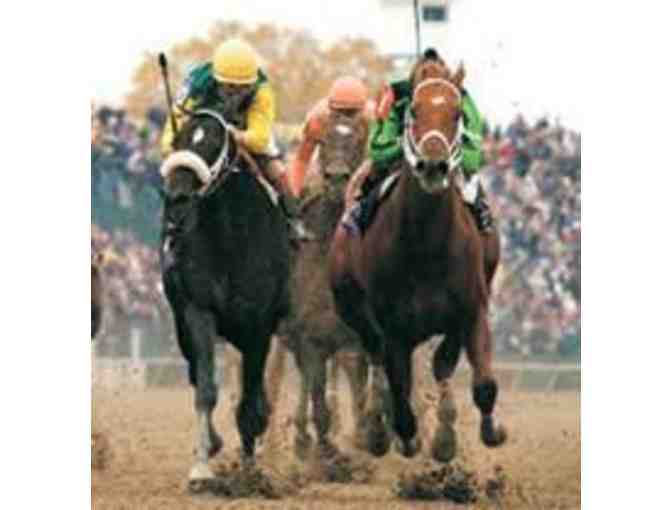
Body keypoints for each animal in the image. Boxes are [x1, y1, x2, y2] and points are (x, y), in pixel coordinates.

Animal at [159, 109, 291, 483]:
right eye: (179, 138)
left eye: (215, 141)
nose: (176, 199)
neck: (230, 236)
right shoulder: (198, 311)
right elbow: (206, 388)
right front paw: (201, 468)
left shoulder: (259, 324)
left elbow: (250, 401)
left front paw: (250, 470)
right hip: (182, 325)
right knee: (195, 373)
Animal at [329, 57, 507, 463]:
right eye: (413, 110)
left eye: (457, 113)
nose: (433, 166)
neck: (427, 245)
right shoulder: (393, 324)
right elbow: (399, 389)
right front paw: (405, 436)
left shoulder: (471, 308)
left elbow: (479, 381)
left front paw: (478, 431)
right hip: (350, 305)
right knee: (375, 357)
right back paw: (377, 427)